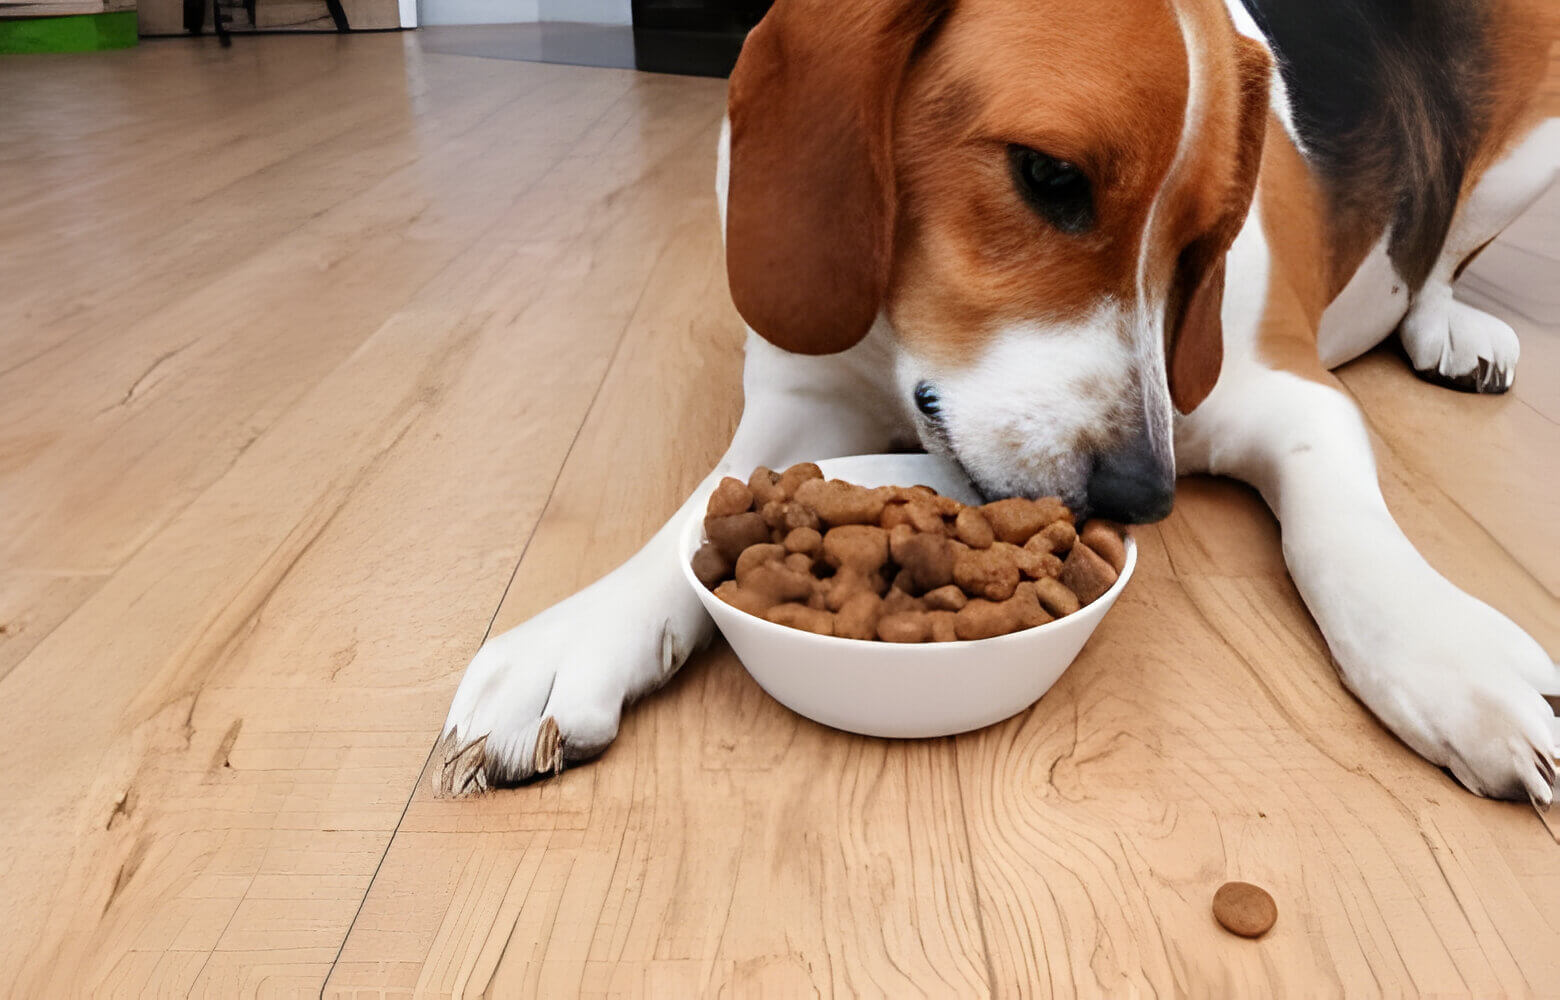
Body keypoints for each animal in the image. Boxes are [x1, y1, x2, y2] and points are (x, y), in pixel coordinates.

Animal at [443, 0, 1560, 798]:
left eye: (1205, 238)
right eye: (1050, 175)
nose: (1142, 494)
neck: (899, 345)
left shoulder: (1292, 396)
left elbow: (1347, 538)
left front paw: (1450, 649)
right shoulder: (803, 399)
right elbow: (696, 512)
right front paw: (578, 635)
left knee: (1442, 255)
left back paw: (1449, 329)